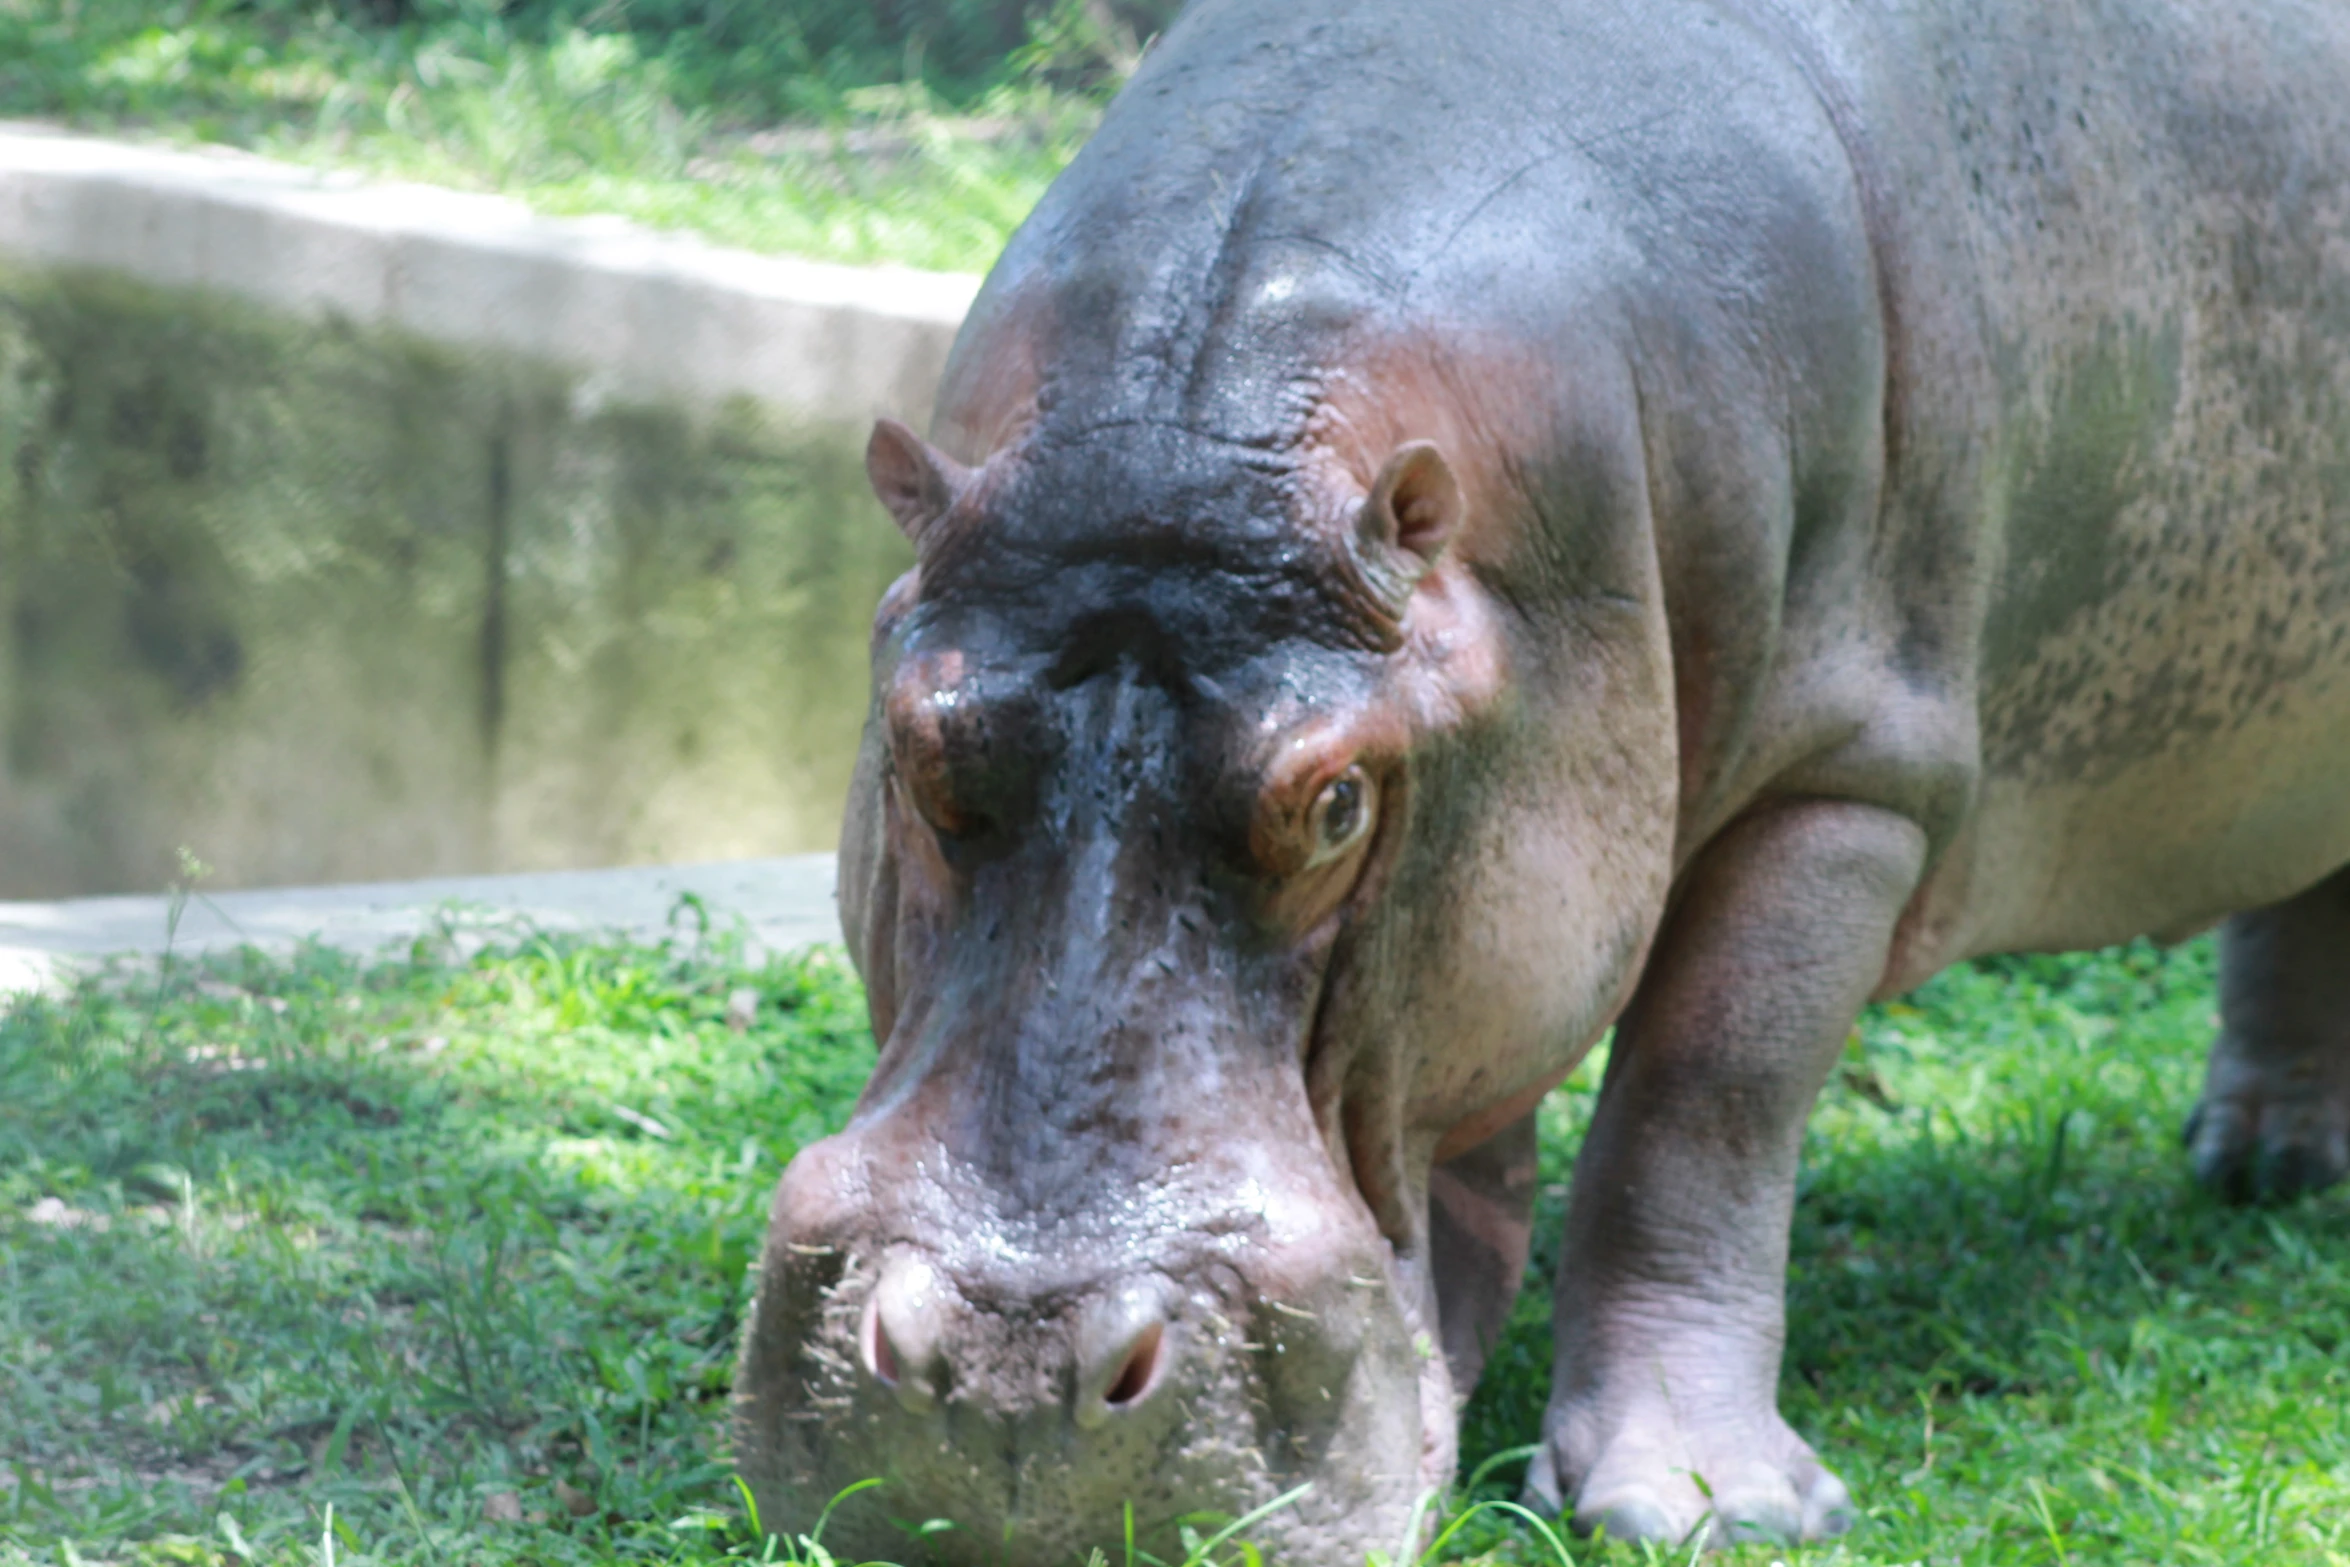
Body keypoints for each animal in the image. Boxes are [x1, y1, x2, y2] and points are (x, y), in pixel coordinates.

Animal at [733, 0, 2350, 1550]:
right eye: (919, 743)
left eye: (1337, 801)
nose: (1007, 1372)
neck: (1201, 427)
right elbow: (1467, 1156)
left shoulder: (1846, 780)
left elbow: (1698, 1108)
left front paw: (1703, 1509)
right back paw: (2266, 1160)